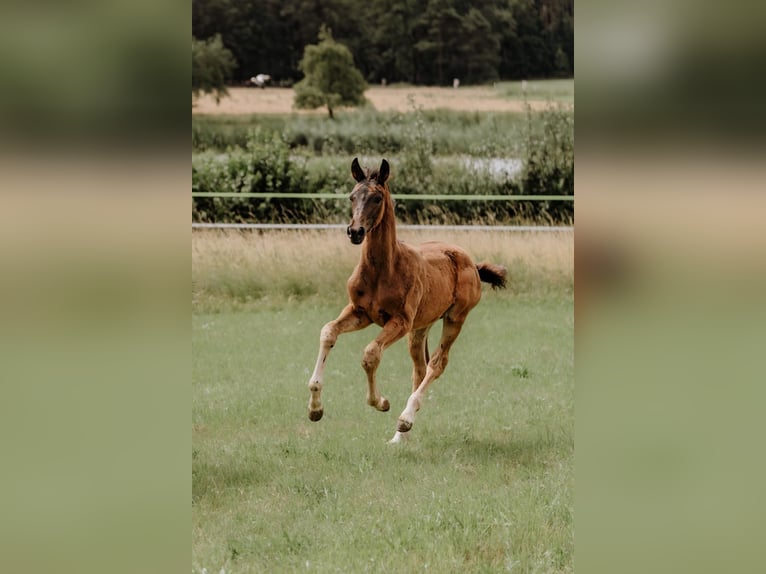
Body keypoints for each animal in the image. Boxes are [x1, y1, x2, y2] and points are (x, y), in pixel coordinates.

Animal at [308, 159, 508, 446]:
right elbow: (328, 332)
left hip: (454, 318)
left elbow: (371, 353)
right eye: (352, 196)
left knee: (437, 363)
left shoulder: (400, 321)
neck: (383, 269)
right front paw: (315, 409)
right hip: (420, 326)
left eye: (377, 197)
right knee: (419, 368)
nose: (355, 232)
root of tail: (471, 262)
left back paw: (405, 419)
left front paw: (381, 402)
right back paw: (399, 436)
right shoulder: (359, 312)